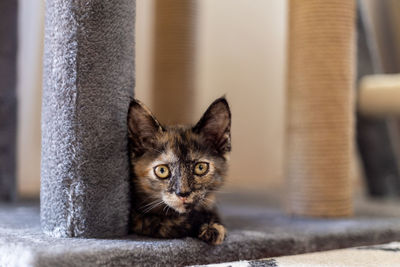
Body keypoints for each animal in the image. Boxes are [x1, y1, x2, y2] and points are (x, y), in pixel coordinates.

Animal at [126, 97, 230, 246]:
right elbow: (166, 224)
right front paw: (211, 225)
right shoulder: (139, 219)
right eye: (162, 170)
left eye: (200, 168)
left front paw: (212, 226)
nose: (183, 193)